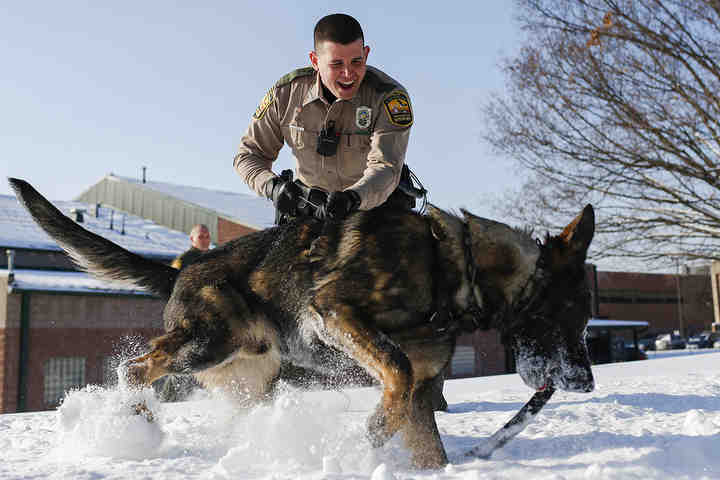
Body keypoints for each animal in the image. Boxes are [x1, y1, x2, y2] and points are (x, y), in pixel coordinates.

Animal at [9, 178, 596, 466]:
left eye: (587, 319)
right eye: (571, 316)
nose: (587, 384)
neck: (452, 264)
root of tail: (185, 265)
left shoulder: (424, 391)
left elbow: (429, 445)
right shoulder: (336, 314)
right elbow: (398, 372)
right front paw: (371, 433)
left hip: (250, 379)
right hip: (206, 341)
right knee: (135, 367)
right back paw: (131, 423)